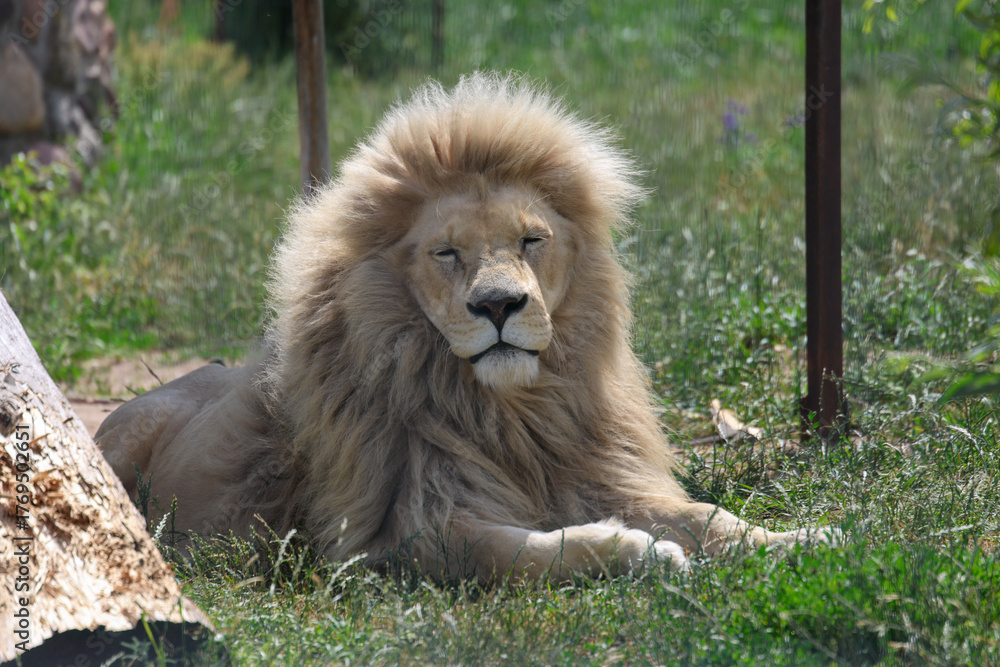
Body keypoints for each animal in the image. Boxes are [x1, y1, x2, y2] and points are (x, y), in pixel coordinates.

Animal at [97, 72, 830, 582]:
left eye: (531, 239)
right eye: (447, 252)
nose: (500, 304)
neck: (510, 413)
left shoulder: (593, 473)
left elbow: (707, 515)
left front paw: (800, 541)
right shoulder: (400, 537)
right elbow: (530, 553)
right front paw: (641, 554)